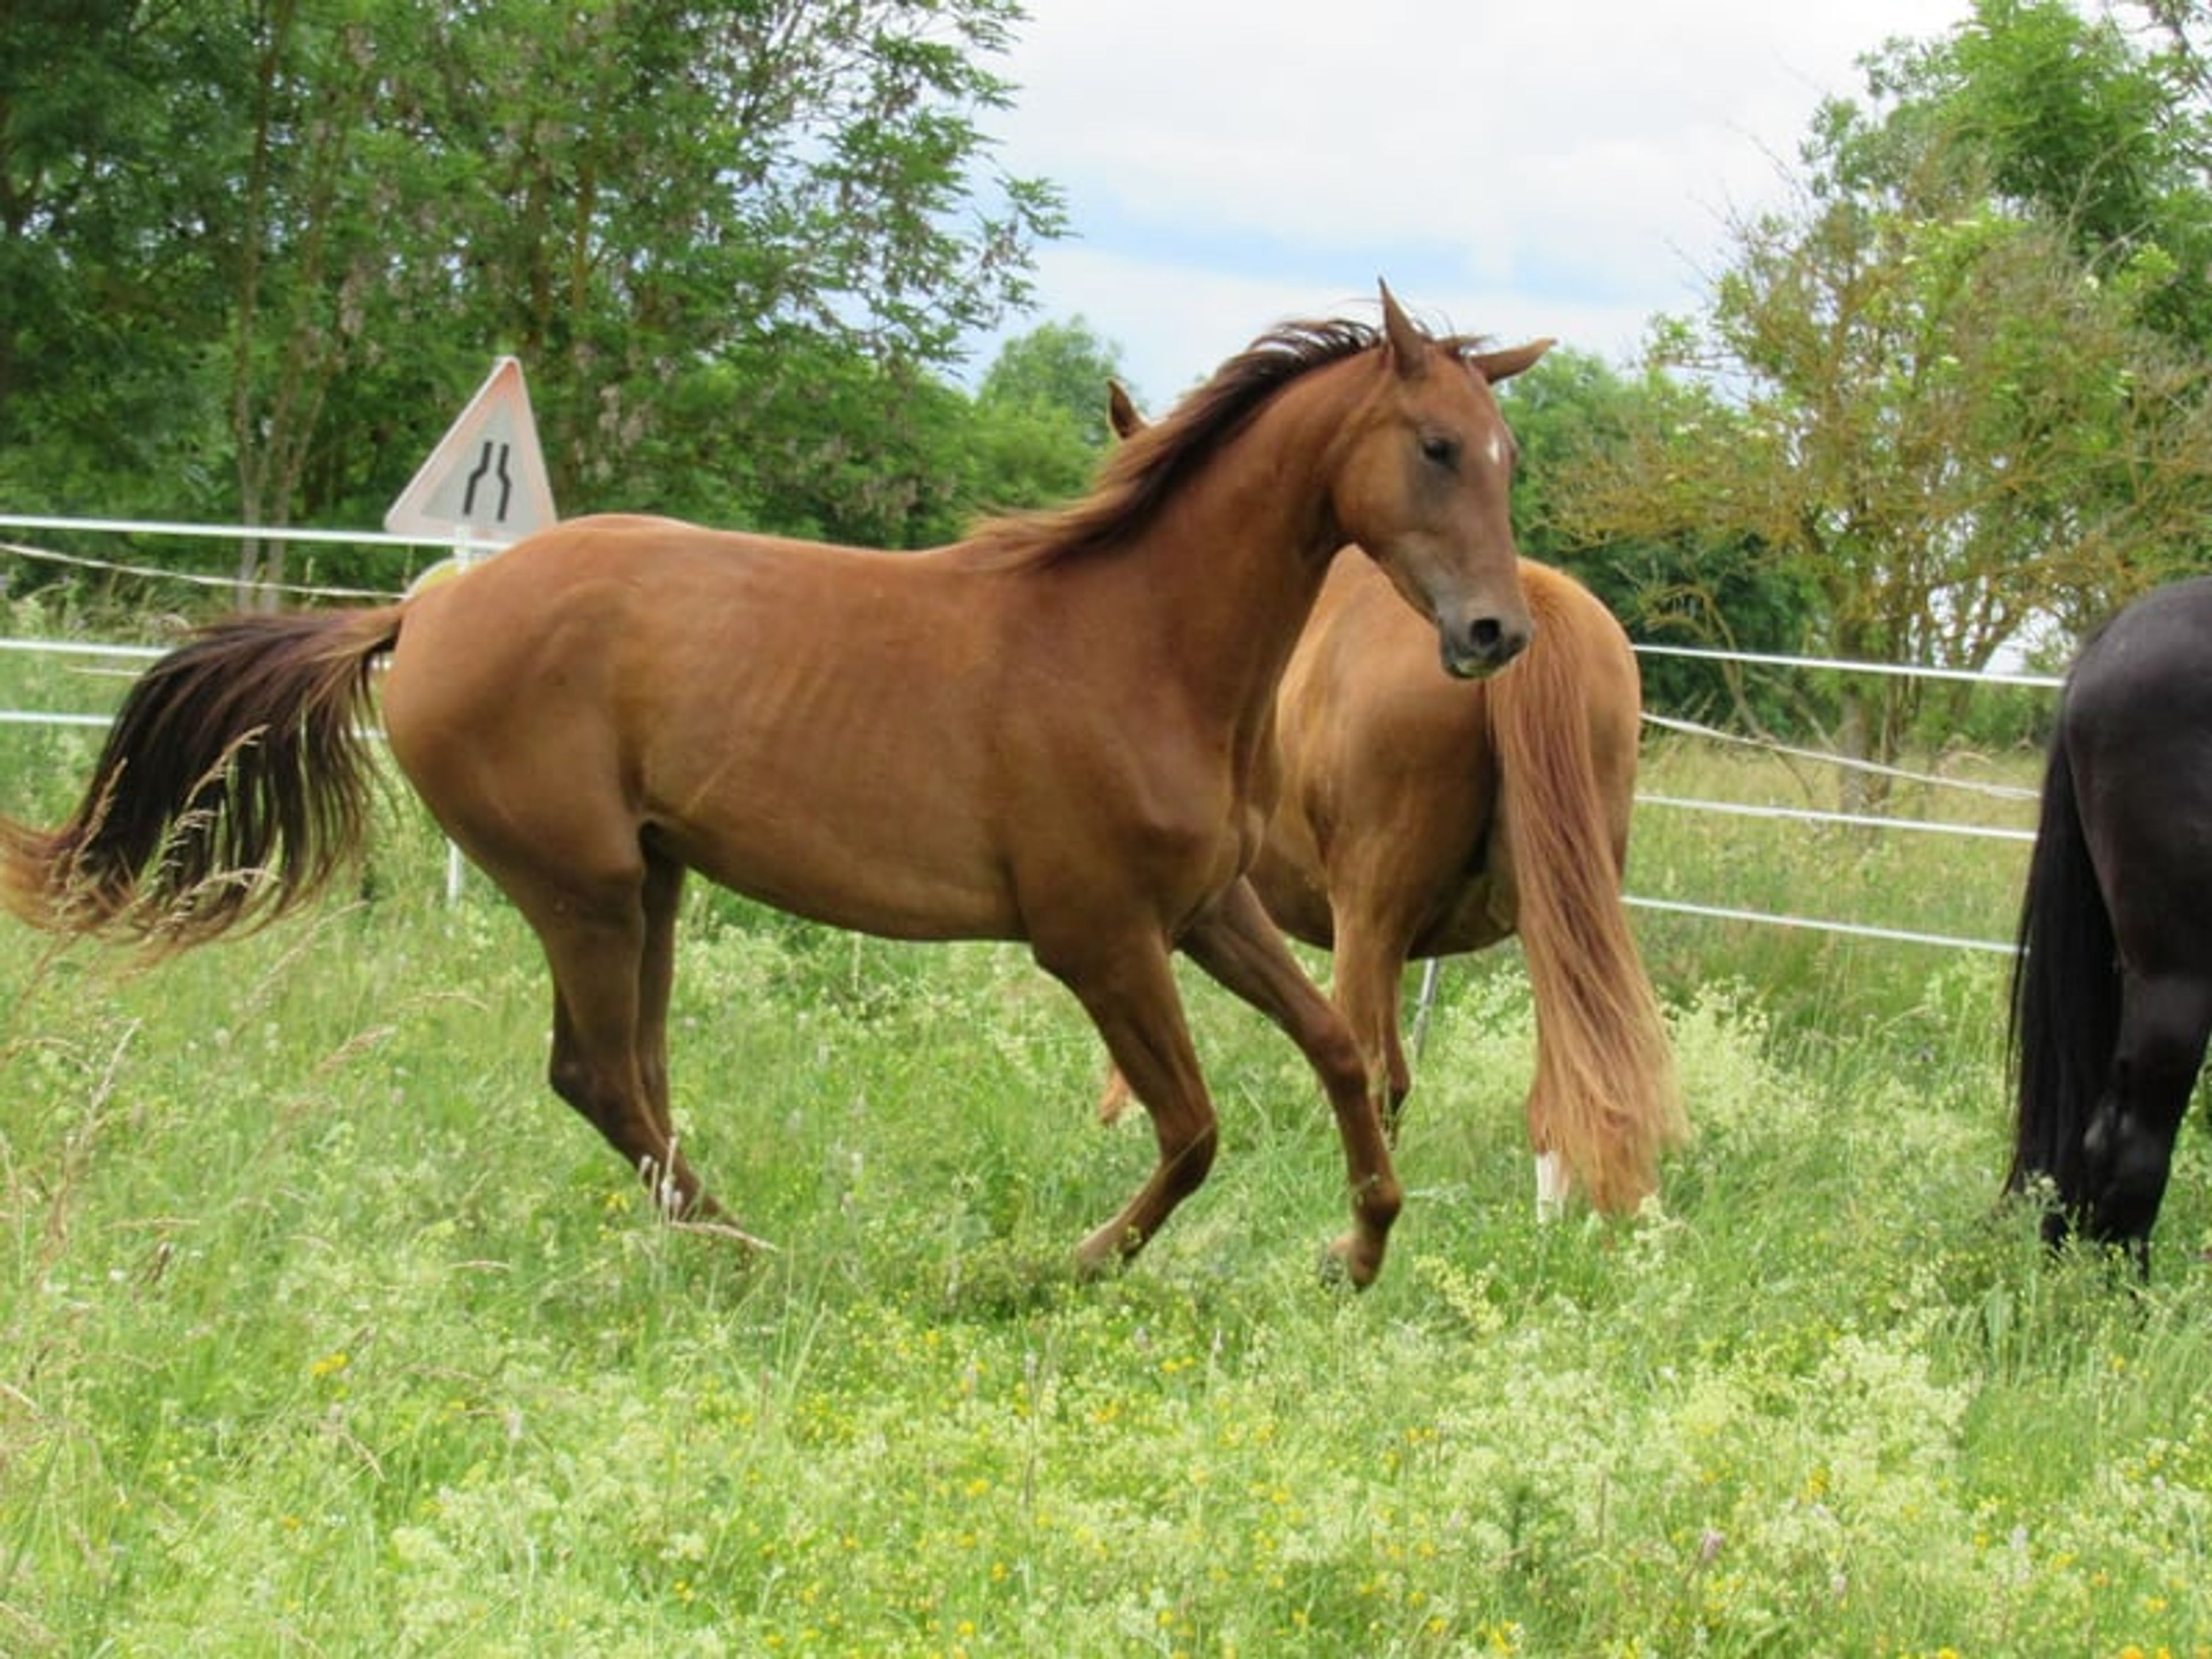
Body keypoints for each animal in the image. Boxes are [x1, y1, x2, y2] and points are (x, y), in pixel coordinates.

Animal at [0, 283, 1546, 1288]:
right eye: (1433, 447)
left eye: (1507, 455)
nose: (1493, 634)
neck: (1136, 641)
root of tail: (423, 614)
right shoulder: (1099, 939)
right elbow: (1193, 1129)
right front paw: (1055, 1271)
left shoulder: (1206, 909)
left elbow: (1340, 1052)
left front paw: (1357, 1247)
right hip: (586, 887)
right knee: (601, 1077)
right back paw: (756, 1254)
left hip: (654, 883)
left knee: (634, 1078)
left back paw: (729, 1242)